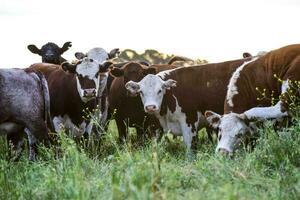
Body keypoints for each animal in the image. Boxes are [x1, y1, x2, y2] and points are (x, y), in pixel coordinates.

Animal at [124, 57, 253, 155]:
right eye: (141, 92)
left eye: (160, 90)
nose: (150, 107)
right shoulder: (157, 126)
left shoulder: (189, 122)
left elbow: (189, 149)